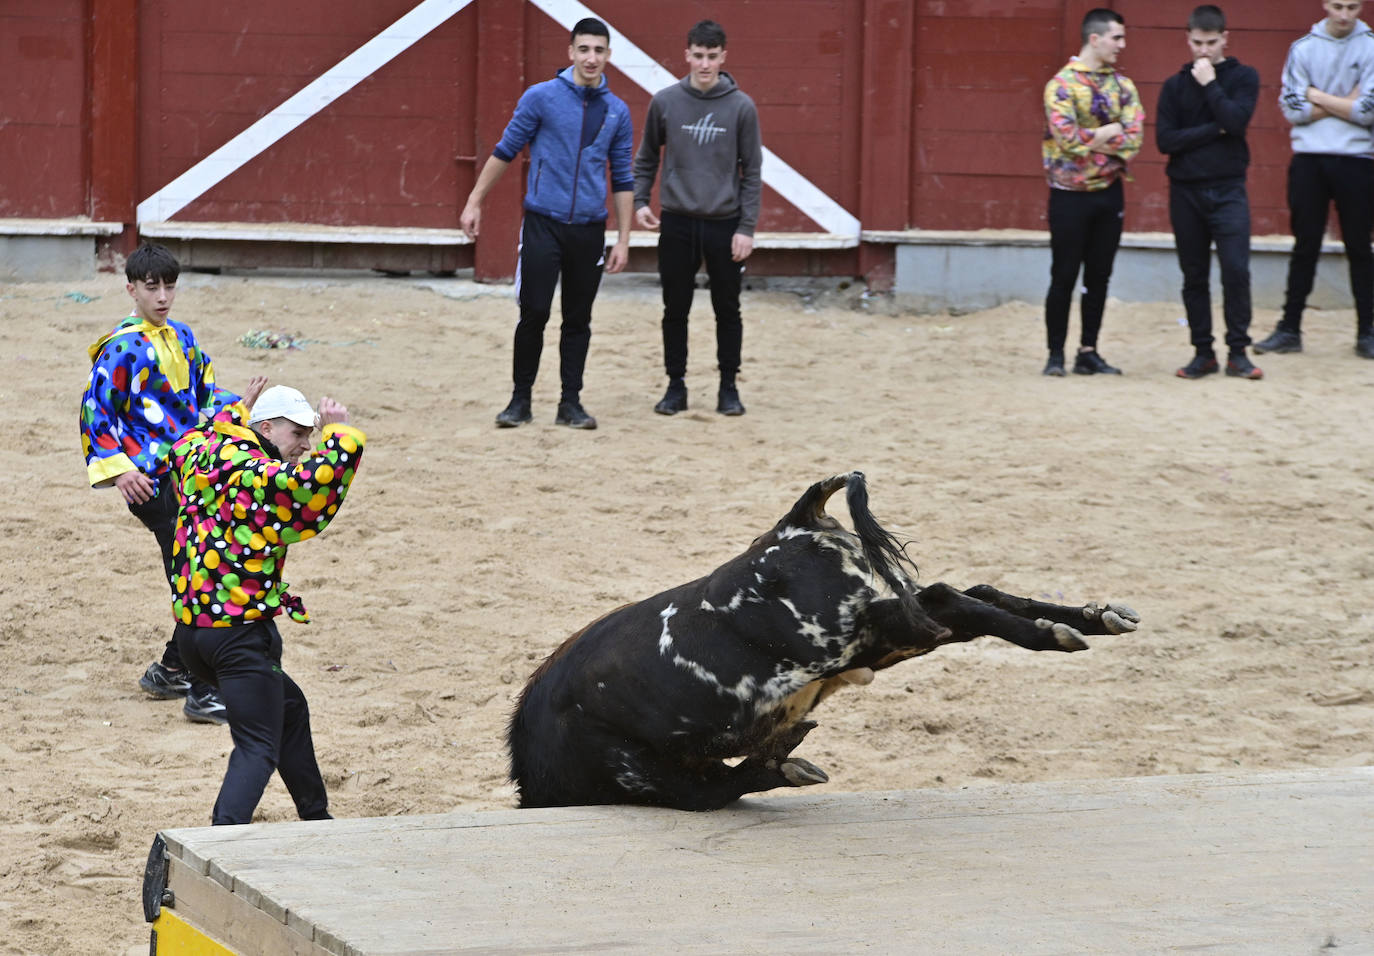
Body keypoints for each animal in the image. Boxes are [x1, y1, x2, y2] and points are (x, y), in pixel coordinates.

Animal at [505, 475, 1137, 807]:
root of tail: (795, 522)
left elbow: (721, 790)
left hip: (863, 638)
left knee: (952, 598)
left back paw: (1061, 631)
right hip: (880, 638)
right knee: (954, 596)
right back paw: (1094, 618)